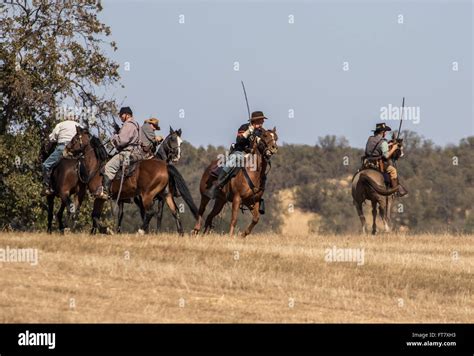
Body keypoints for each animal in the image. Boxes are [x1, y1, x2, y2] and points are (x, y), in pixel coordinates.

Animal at [64, 126, 197, 235]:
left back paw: (141, 231)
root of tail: (165, 166)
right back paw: (180, 233)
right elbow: (95, 216)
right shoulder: (102, 198)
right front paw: (96, 232)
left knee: (150, 212)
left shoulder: (100, 197)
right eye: (173, 139)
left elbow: (95, 216)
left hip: (148, 195)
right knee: (175, 211)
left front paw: (106, 230)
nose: (66, 149)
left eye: (75, 139)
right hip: (166, 194)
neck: (97, 167)